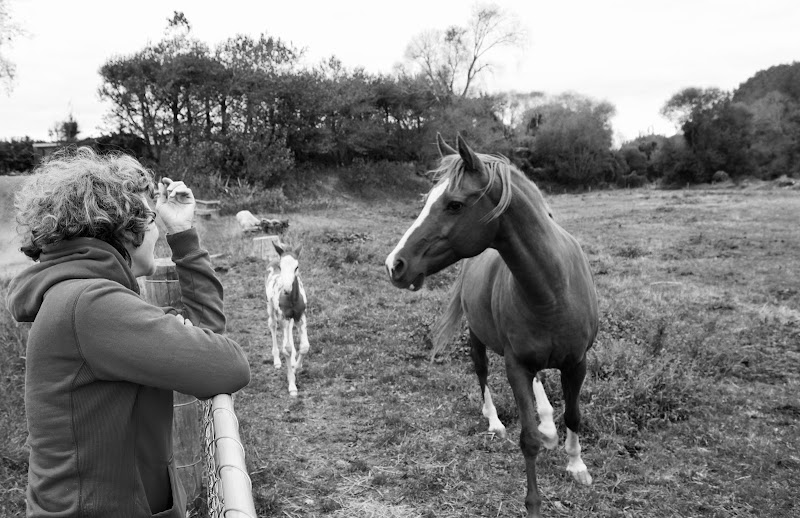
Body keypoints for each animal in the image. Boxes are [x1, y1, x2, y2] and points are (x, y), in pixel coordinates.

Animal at [266, 241, 310, 398]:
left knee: (290, 330)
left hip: (291, 318)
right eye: (281, 267)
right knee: (272, 325)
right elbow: (287, 349)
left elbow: (304, 346)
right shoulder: (284, 316)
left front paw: (296, 367)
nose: (286, 288)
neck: (292, 299)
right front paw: (292, 385)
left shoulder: (300, 316)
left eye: (297, 267)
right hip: (271, 307)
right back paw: (277, 361)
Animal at [384, 135, 596, 518]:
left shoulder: (577, 363)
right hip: (477, 339)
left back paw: (548, 424)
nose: (395, 264)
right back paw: (496, 422)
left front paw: (577, 466)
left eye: (454, 204)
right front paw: (533, 505)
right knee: (482, 375)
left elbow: (573, 415)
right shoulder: (516, 366)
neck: (554, 290)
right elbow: (527, 439)